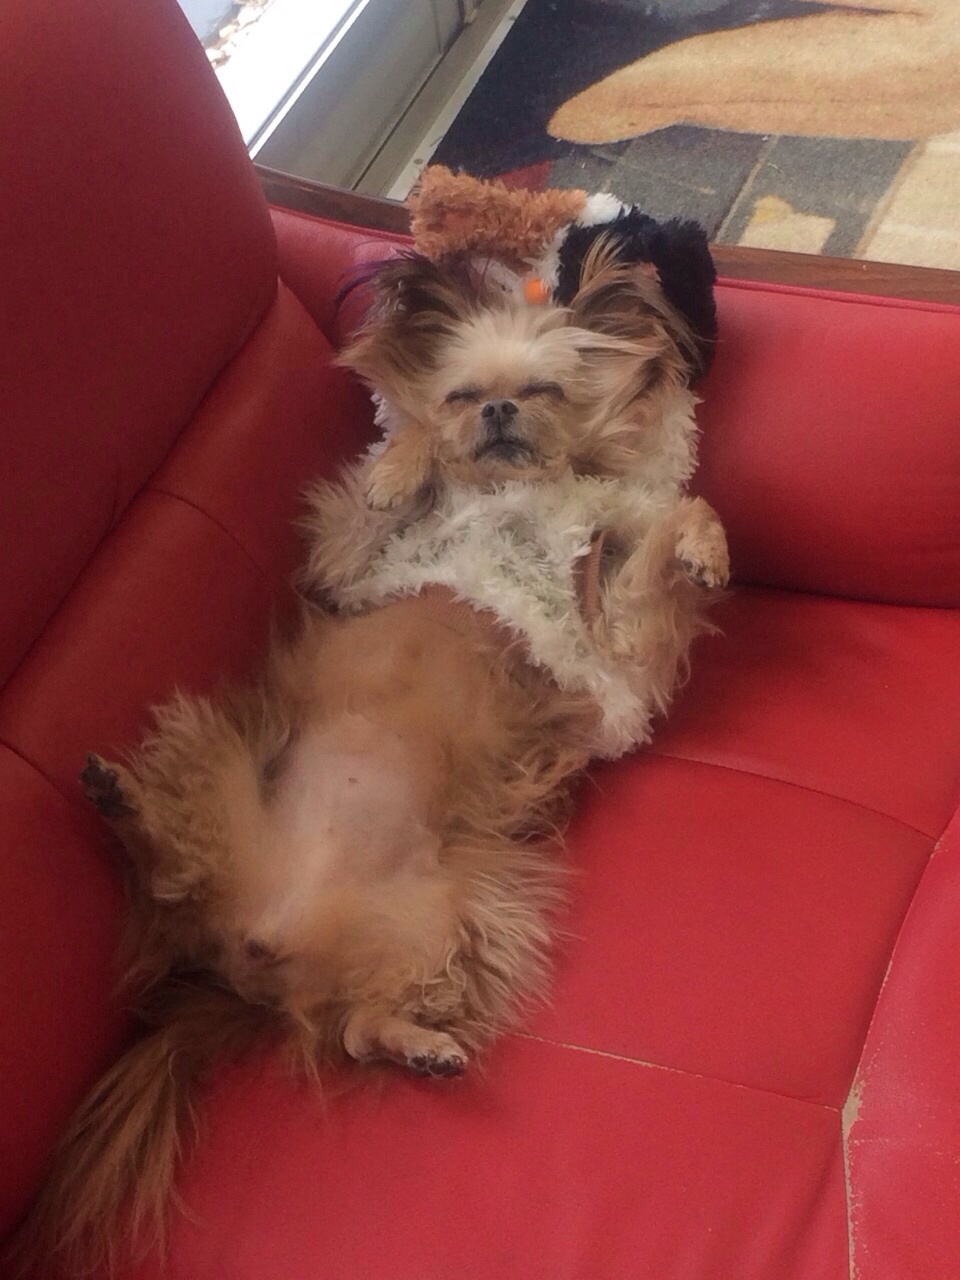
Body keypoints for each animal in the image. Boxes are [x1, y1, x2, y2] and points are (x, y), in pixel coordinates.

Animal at [14, 240, 728, 1278]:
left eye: (544, 390)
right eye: (465, 393)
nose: (498, 413)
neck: (510, 499)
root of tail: (257, 953)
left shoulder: (616, 644)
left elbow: (666, 529)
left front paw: (703, 546)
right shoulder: (348, 563)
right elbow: (389, 485)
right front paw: (407, 463)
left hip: (437, 927)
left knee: (350, 1026)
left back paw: (416, 1043)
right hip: (220, 765)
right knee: (178, 879)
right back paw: (127, 806)